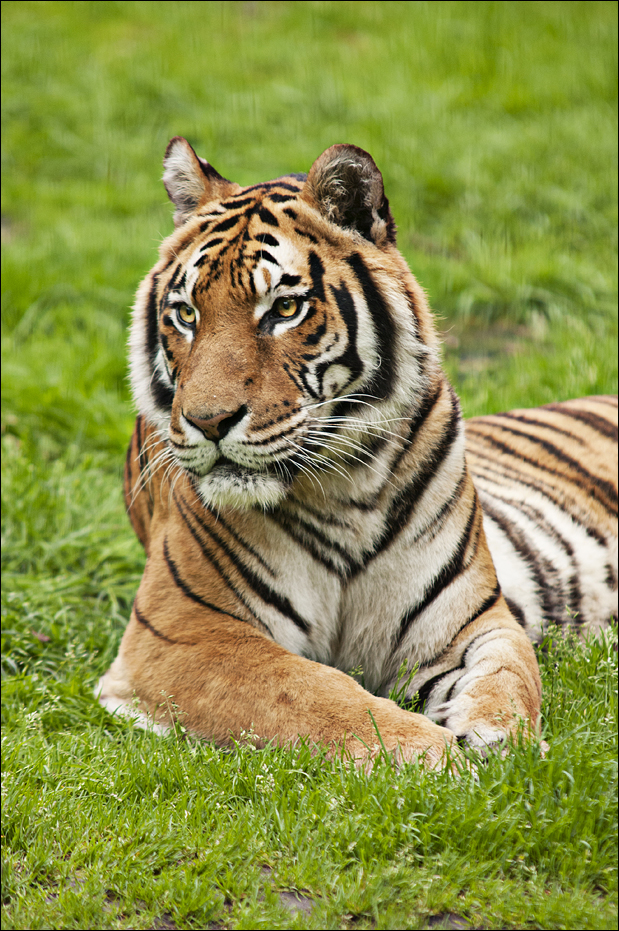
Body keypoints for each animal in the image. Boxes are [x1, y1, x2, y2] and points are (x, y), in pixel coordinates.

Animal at [97, 138, 618, 767]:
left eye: (284, 309)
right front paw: (438, 756)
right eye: (186, 314)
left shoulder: (470, 621)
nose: (207, 421)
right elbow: (315, 693)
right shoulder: (185, 633)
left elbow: (508, 677)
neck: (343, 488)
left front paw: (505, 745)